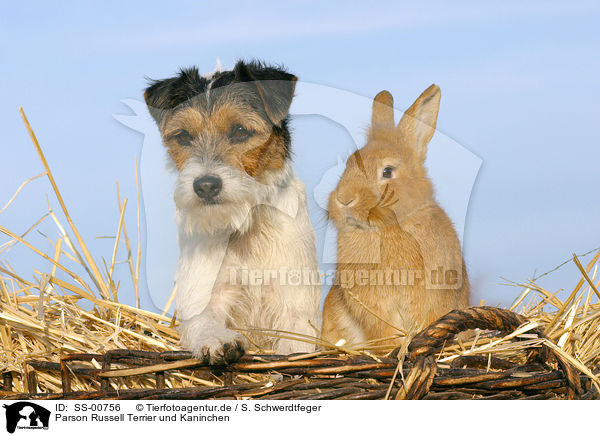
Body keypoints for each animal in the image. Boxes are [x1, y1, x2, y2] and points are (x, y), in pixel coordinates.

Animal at [145, 59, 322, 362]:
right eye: (184, 136)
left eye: (240, 131)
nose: (205, 186)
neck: (246, 225)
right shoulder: (206, 299)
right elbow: (206, 323)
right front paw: (218, 341)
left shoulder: (295, 306)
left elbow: (296, 341)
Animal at [324, 86, 468, 350]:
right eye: (348, 164)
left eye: (387, 171)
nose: (344, 199)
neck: (387, 227)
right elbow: (383, 332)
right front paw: (391, 350)